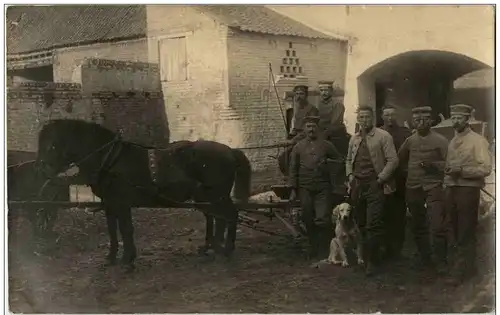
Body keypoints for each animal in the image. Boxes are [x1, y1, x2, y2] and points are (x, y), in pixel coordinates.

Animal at [36, 119, 250, 272]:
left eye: (52, 145)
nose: (44, 170)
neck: (111, 160)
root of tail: (230, 150)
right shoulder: (110, 204)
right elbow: (113, 230)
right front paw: (112, 257)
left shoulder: (122, 204)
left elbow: (126, 229)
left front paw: (127, 259)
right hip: (208, 197)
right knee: (219, 217)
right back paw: (214, 248)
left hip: (216, 195)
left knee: (230, 215)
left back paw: (226, 249)